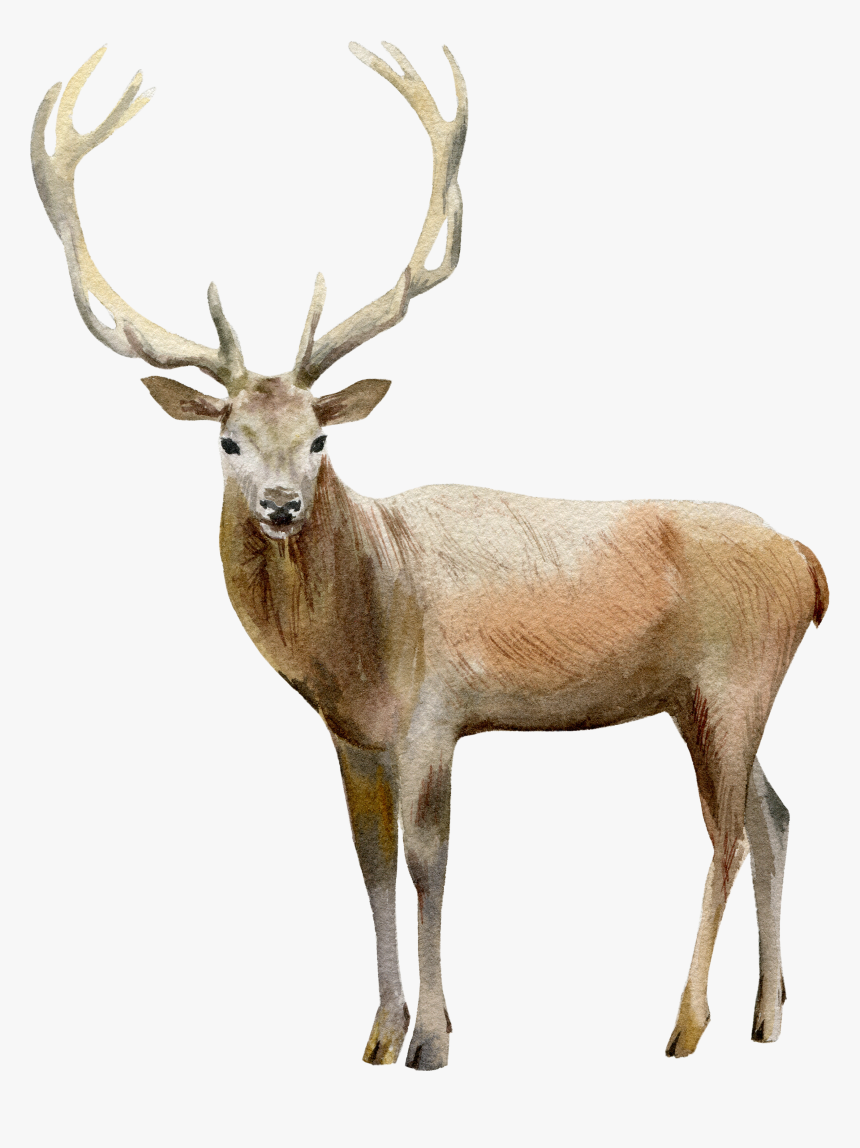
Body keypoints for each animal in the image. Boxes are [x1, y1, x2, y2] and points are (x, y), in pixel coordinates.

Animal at [32, 42, 828, 1071]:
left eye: (322, 438)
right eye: (229, 441)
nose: (283, 506)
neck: (362, 644)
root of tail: (811, 566)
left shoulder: (436, 715)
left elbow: (427, 862)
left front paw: (436, 1038)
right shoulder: (351, 736)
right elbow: (369, 863)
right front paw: (378, 1031)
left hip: (731, 680)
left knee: (726, 832)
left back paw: (687, 1024)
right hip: (710, 697)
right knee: (774, 814)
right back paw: (769, 1015)